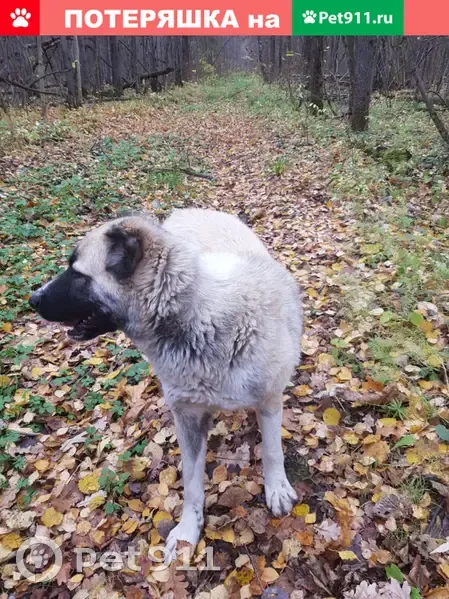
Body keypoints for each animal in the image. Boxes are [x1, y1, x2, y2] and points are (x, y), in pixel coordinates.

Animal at [29, 210, 302, 564]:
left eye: (77, 273)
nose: (32, 299)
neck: (197, 315)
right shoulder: (189, 420)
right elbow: (191, 484)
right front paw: (188, 531)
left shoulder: (269, 400)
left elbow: (272, 451)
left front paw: (276, 488)